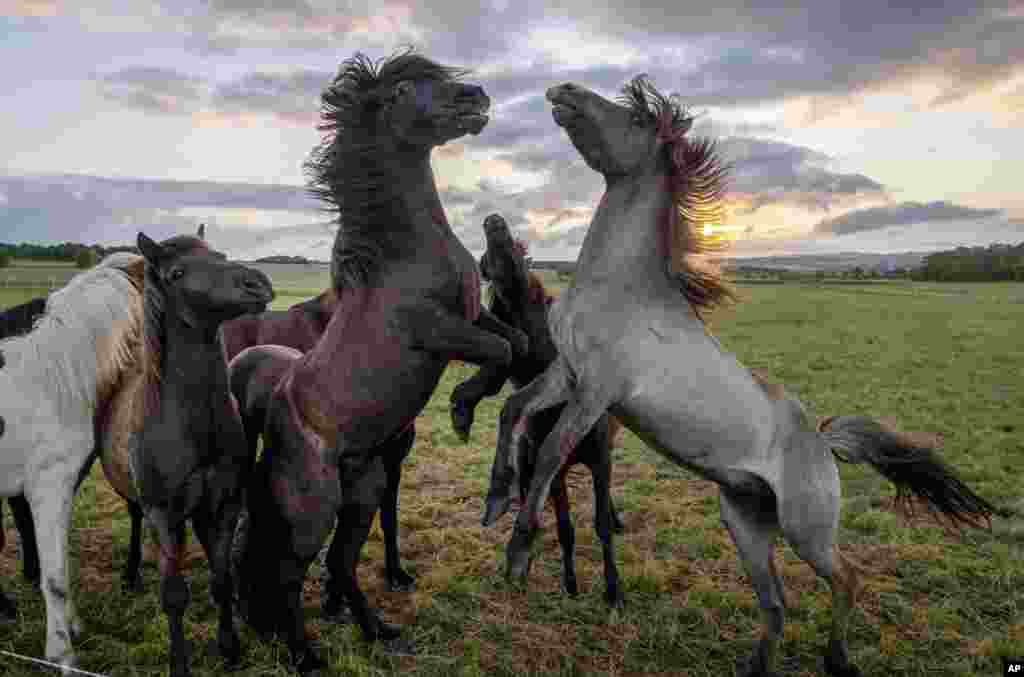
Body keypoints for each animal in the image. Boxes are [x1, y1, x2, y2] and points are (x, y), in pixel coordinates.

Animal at [0, 251, 144, 663]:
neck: (51, 380)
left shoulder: (61, 490)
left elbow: (60, 565)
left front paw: (72, 627)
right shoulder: (45, 489)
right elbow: (54, 578)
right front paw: (61, 654)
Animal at [481, 76, 999, 675]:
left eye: (634, 119)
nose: (562, 90)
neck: (619, 287)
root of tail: (824, 443)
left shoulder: (596, 391)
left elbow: (548, 454)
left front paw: (518, 553)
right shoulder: (567, 374)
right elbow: (512, 410)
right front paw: (495, 501)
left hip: (805, 530)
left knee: (847, 579)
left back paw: (837, 660)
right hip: (746, 524)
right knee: (776, 604)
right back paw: (758, 667)